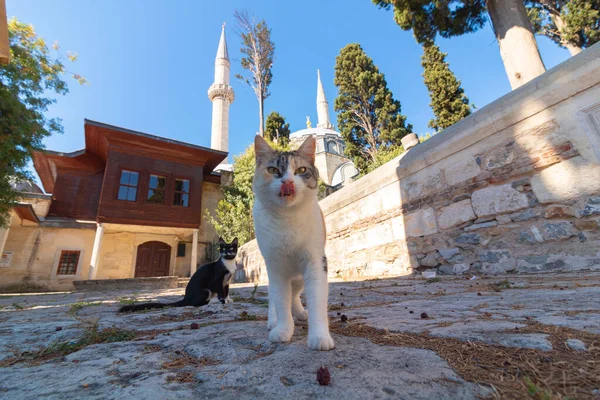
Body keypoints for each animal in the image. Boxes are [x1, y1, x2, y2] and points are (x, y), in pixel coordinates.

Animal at [250, 134, 332, 350]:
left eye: (301, 170)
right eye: (273, 170)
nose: (287, 181)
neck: (287, 218)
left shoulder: (315, 262)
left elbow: (317, 301)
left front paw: (319, 337)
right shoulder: (276, 266)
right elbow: (280, 301)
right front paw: (283, 330)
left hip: (300, 277)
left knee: (294, 294)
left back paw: (301, 313)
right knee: (275, 299)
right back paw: (273, 321)